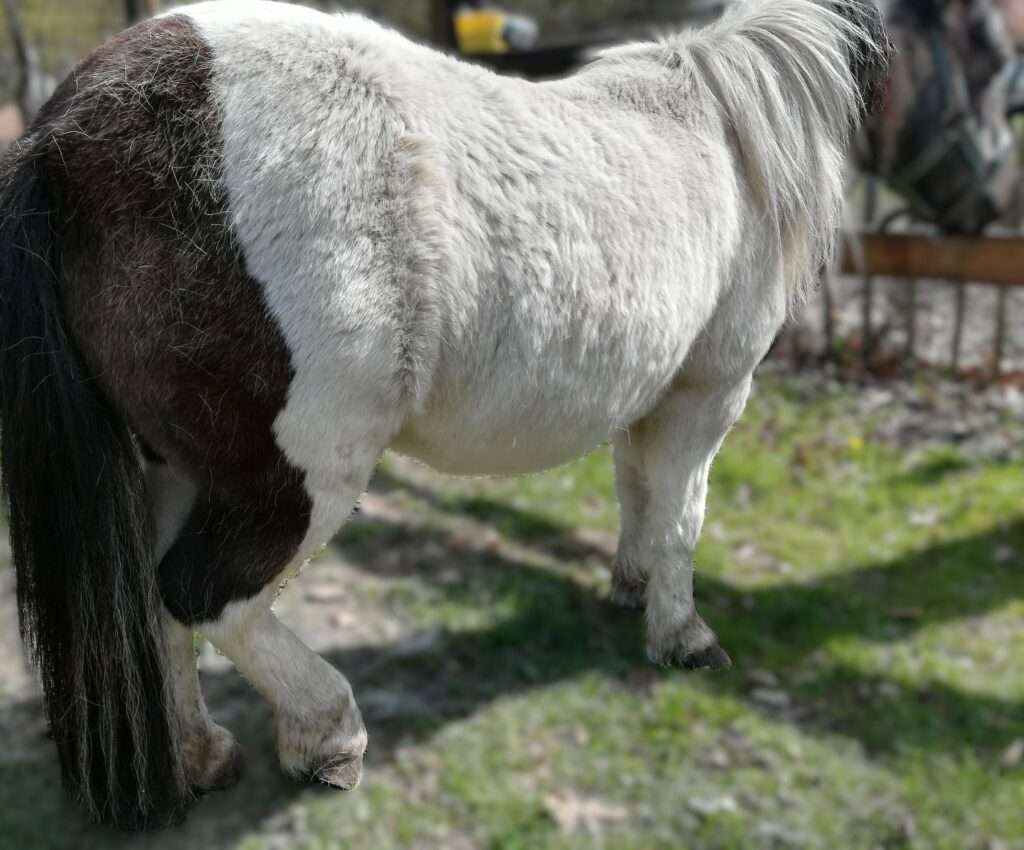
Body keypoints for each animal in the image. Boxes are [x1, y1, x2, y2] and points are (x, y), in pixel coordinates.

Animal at [0, 0, 889, 829]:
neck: (723, 133)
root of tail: (66, 138)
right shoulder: (709, 393)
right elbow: (681, 520)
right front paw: (682, 636)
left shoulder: (653, 397)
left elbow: (638, 494)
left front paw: (630, 589)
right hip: (300, 479)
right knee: (206, 595)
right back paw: (328, 735)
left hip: (175, 464)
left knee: (156, 608)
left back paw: (201, 754)